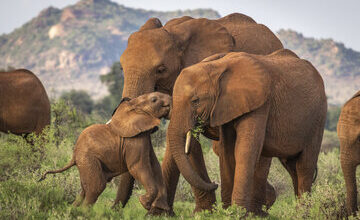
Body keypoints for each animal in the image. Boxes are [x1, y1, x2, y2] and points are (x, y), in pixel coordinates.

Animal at [40, 92, 172, 216]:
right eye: (154, 99)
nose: (171, 99)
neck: (134, 105)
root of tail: (74, 155)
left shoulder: (144, 137)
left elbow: (155, 166)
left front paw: (159, 208)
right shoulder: (134, 140)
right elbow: (137, 167)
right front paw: (144, 203)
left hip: (84, 163)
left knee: (84, 190)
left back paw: (73, 210)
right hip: (88, 159)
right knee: (97, 186)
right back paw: (84, 214)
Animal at [117, 12, 284, 212]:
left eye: (161, 70)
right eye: (121, 68)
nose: (116, 208)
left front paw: (203, 212)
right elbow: (183, 139)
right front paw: (160, 213)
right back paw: (269, 198)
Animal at [167, 49, 328, 213]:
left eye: (195, 101)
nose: (214, 183)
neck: (217, 67)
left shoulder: (260, 103)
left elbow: (245, 149)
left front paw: (238, 212)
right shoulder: (224, 106)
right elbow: (226, 151)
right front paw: (227, 211)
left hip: (318, 118)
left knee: (305, 166)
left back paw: (304, 212)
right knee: (292, 167)